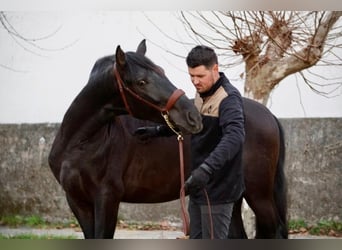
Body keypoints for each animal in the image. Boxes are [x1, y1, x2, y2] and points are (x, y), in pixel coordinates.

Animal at [49, 40, 288, 239]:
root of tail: (269, 115)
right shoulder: (78, 201)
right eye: (141, 81)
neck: (81, 144)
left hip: (259, 195)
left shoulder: (107, 198)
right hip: (234, 196)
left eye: (162, 72)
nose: (193, 116)